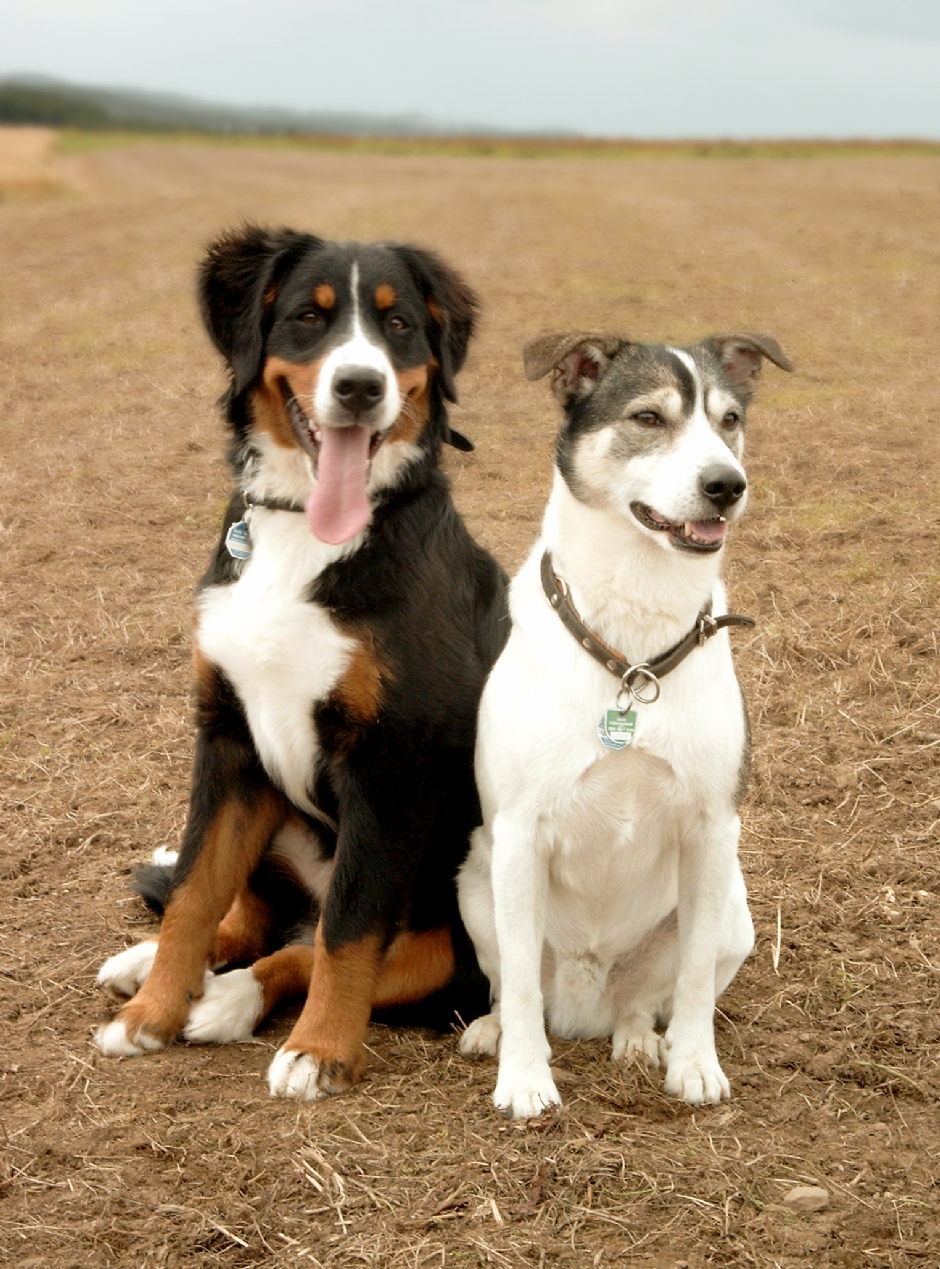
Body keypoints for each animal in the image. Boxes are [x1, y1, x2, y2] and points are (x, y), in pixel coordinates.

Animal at [95, 225, 504, 1101]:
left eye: (399, 326)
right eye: (309, 319)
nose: (359, 386)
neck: (303, 539)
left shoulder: (390, 766)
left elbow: (346, 932)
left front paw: (320, 1049)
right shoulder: (228, 735)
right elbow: (194, 889)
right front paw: (150, 1012)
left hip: (452, 928)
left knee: (315, 943)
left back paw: (231, 1002)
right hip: (273, 797)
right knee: (252, 915)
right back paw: (158, 969)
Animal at [459, 329, 786, 1121]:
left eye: (730, 420)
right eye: (647, 418)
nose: (727, 484)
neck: (634, 652)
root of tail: (586, 1005)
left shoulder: (711, 831)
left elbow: (692, 981)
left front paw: (695, 1066)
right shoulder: (518, 832)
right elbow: (519, 980)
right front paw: (524, 1078)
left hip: (735, 912)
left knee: (646, 999)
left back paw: (639, 1039)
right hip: (477, 880)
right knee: (513, 984)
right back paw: (494, 1031)